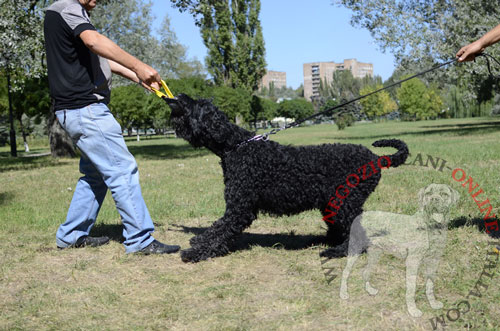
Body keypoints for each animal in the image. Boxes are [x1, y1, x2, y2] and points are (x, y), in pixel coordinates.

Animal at [166, 94, 408, 264]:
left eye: (198, 104)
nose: (179, 96)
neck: (236, 146)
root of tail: (376, 159)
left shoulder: (239, 208)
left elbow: (220, 229)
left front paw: (197, 251)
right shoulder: (237, 207)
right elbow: (216, 228)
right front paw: (199, 241)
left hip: (344, 203)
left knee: (357, 233)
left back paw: (336, 250)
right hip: (333, 204)